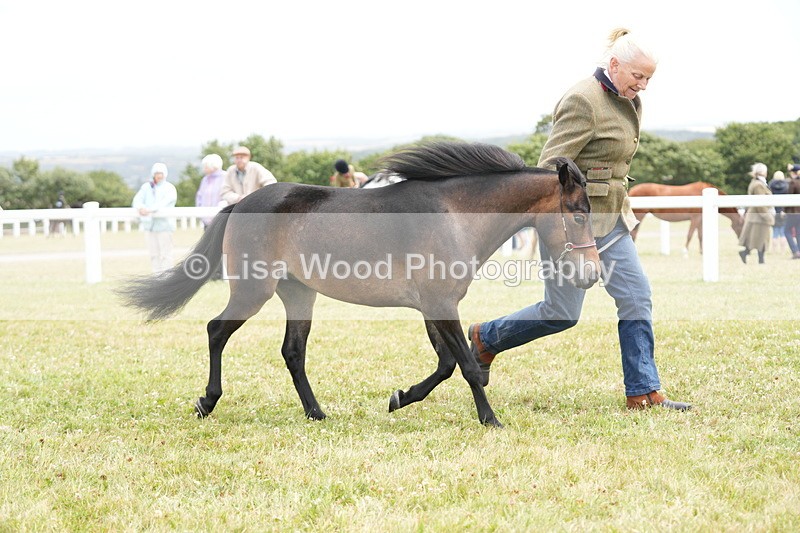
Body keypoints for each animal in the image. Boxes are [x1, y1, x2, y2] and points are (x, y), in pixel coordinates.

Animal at [117, 142, 600, 428]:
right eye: (578, 214)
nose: (592, 274)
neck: (453, 214)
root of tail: (240, 204)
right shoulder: (441, 303)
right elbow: (465, 365)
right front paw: (491, 421)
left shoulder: (432, 306)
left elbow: (447, 364)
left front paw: (400, 398)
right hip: (253, 291)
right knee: (217, 331)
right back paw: (207, 402)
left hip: (298, 293)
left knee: (292, 352)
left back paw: (316, 413)